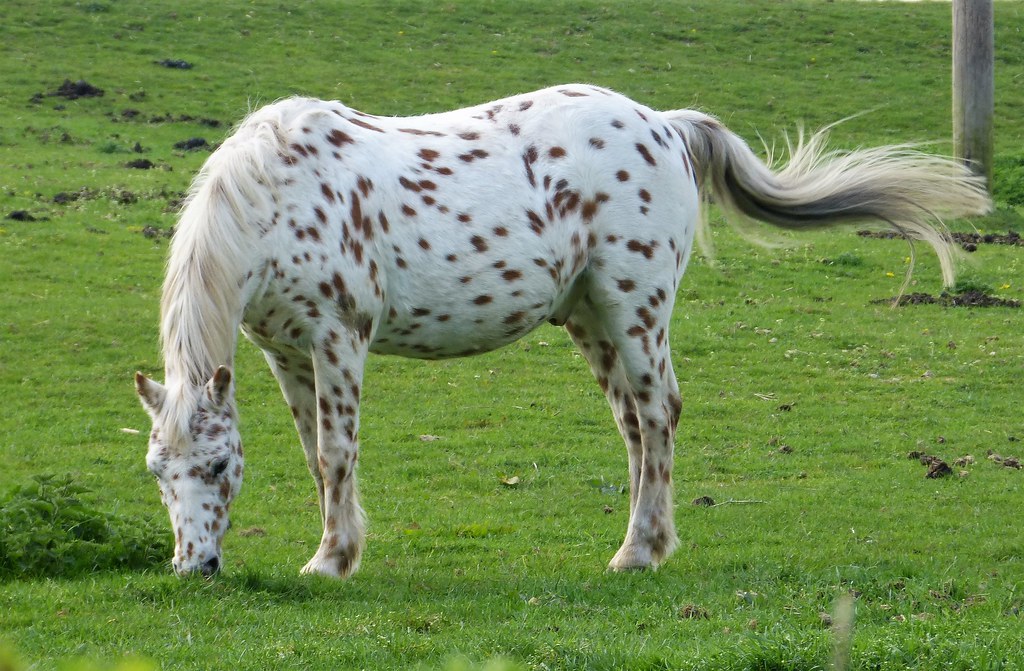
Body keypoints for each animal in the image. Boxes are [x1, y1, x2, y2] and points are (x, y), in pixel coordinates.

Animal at [134, 84, 989, 578]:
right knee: (635, 427)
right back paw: (643, 543)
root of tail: (665, 125)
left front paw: (333, 558)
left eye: (217, 466)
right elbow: (317, 454)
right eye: (157, 471)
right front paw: (331, 548)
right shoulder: (284, 351)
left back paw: (638, 553)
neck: (278, 195)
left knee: (660, 413)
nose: (193, 565)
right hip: (590, 319)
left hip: (636, 311)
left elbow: (340, 452)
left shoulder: (339, 338)